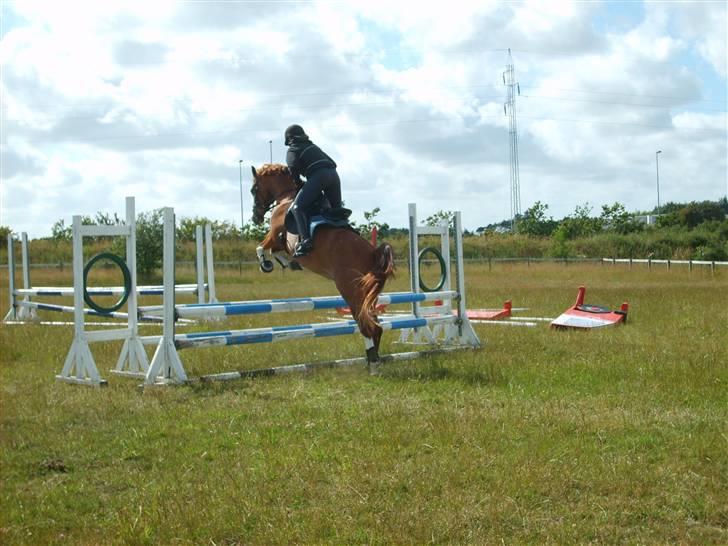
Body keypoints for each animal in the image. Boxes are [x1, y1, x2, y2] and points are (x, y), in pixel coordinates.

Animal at [252, 163, 398, 370]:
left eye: (254, 189)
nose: (255, 217)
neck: (286, 198)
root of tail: (373, 253)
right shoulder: (279, 242)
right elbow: (275, 251)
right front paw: (287, 262)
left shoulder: (275, 234)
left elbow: (262, 247)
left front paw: (266, 264)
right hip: (368, 294)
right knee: (374, 325)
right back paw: (372, 361)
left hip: (350, 290)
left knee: (367, 325)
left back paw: (373, 365)